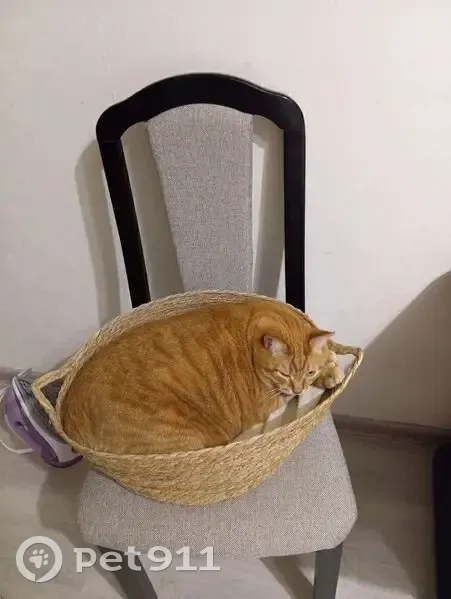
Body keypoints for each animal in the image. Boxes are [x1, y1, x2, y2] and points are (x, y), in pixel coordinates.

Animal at [61, 298, 338, 455]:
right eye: (283, 374)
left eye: (309, 372)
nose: (299, 390)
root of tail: (69, 418)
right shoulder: (266, 403)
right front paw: (330, 368)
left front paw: (329, 366)